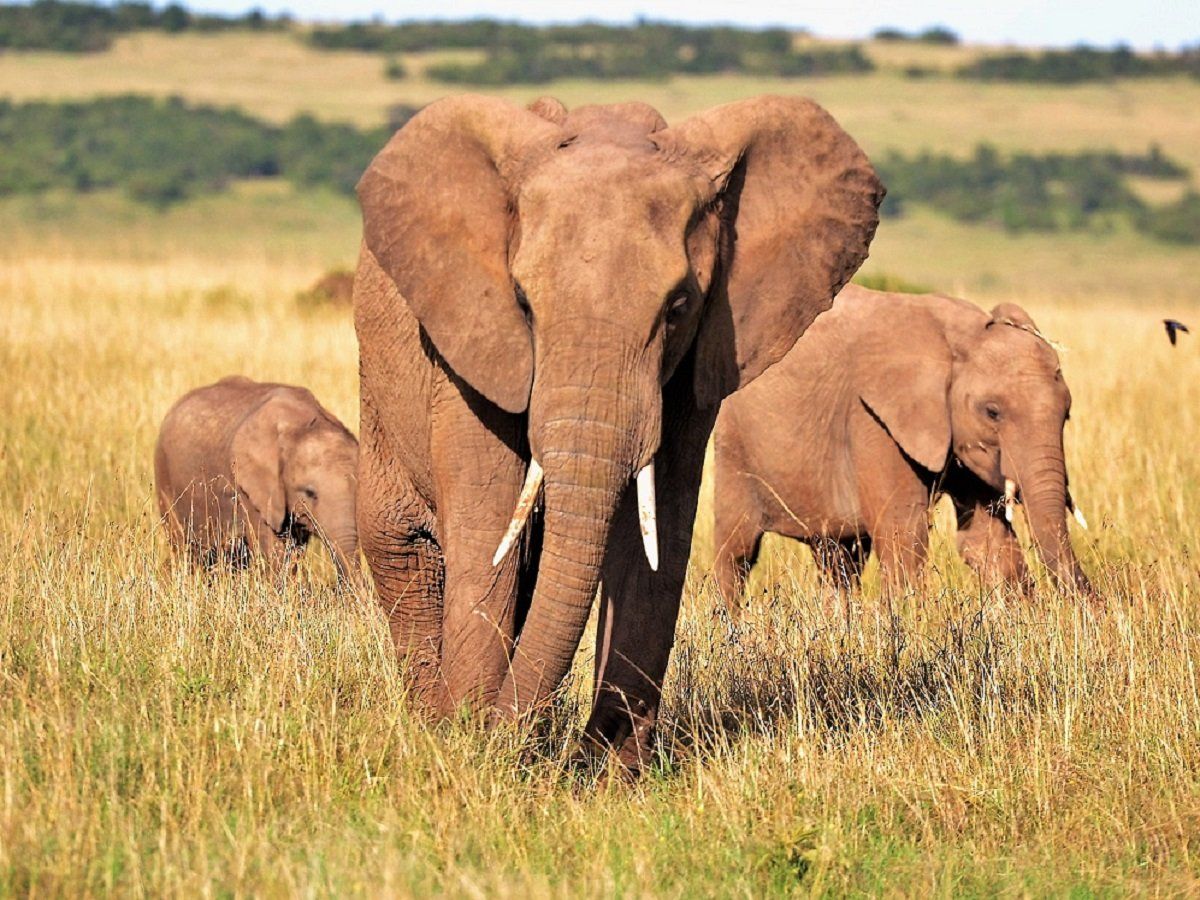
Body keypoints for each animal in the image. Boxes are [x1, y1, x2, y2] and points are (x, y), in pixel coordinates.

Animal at [352, 92, 883, 772]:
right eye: (522, 302)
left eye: (678, 307)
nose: (503, 736)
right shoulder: (469, 345)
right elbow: (488, 525)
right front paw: (468, 744)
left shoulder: (696, 365)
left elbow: (657, 537)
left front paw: (609, 772)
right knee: (405, 549)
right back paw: (430, 721)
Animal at [712, 285, 1093, 610]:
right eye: (992, 412)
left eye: (1067, 413)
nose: (1092, 604)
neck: (960, 337)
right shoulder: (871, 418)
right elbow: (904, 533)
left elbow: (986, 540)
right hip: (733, 442)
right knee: (737, 551)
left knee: (840, 557)